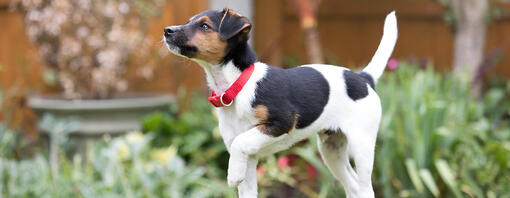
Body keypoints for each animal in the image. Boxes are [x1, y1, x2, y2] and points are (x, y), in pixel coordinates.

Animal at [163, 8, 398, 198]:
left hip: (362, 145)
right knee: (354, 186)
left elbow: (241, 142)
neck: (239, 85)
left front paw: (232, 174)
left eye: (204, 26)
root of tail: (363, 79)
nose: (167, 30)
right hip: (332, 150)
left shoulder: (281, 122)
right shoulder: (249, 160)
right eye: (189, 21)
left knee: (365, 187)